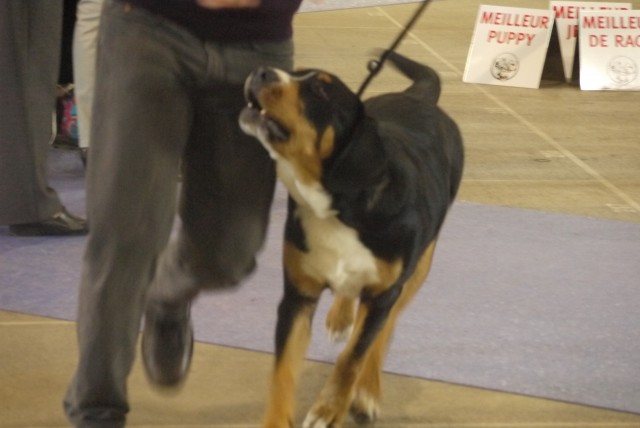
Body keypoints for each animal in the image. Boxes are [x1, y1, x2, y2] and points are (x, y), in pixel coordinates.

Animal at [238, 51, 462, 428]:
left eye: (320, 91)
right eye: (296, 72)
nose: (261, 71)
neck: (338, 206)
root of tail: (419, 98)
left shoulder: (383, 293)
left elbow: (354, 357)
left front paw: (330, 409)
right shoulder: (298, 294)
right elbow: (283, 371)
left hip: (416, 271)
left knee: (383, 333)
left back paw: (368, 391)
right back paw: (341, 316)